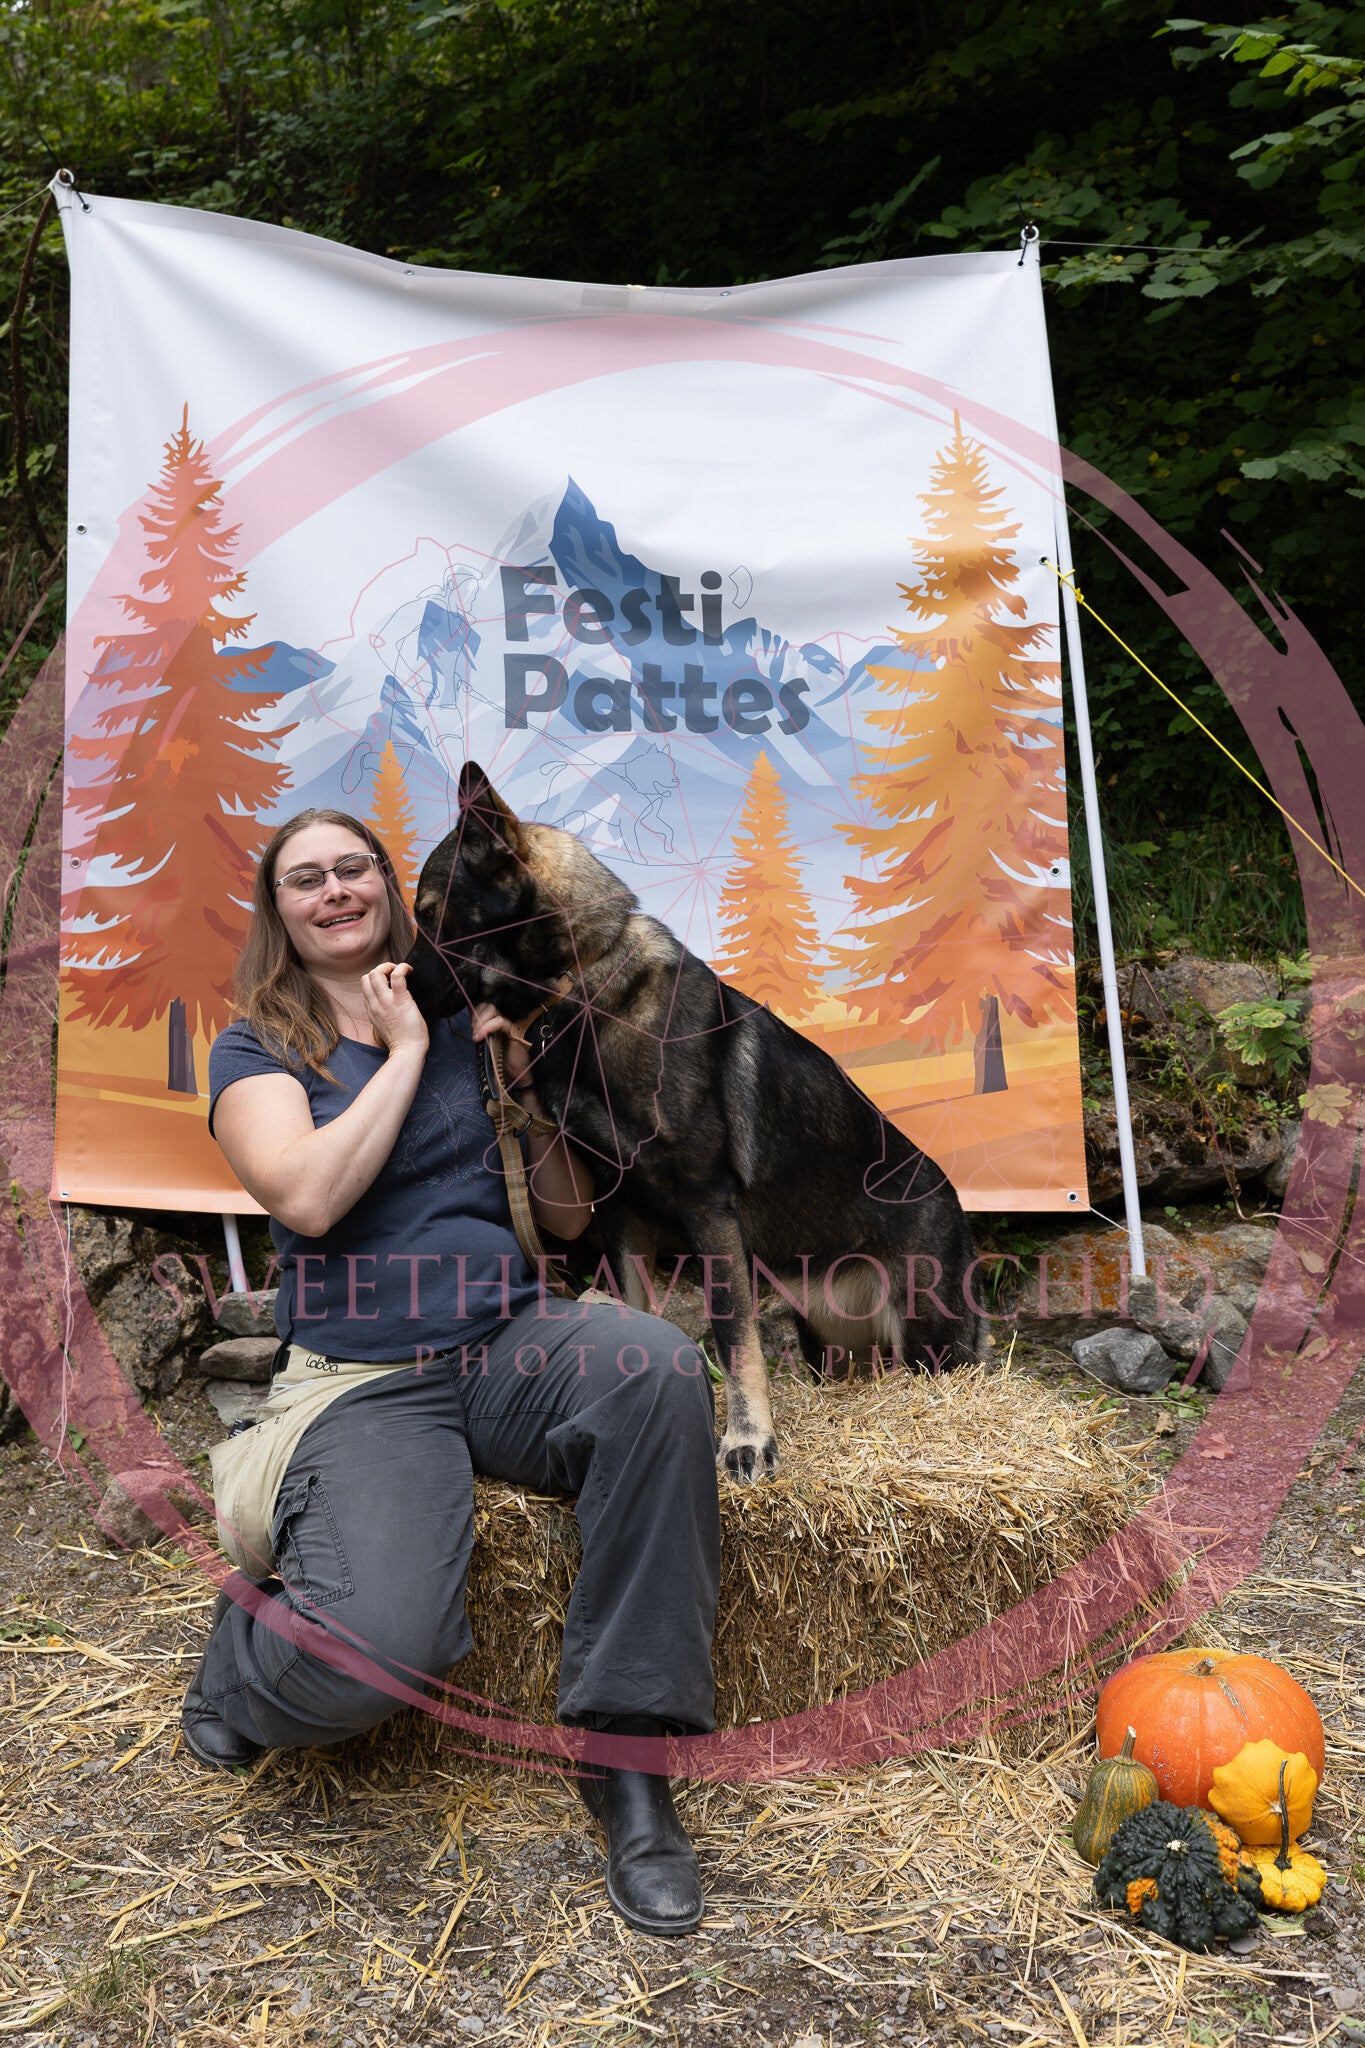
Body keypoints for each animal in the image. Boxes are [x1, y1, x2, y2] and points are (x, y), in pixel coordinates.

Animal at [405, 763, 987, 1483]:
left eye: (429, 917)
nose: (393, 983)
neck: (584, 984)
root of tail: (954, 1201)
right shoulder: (619, 1209)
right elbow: (634, 1304)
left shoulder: (708, 1211)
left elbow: (734, 1333)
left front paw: (747, 1440)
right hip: (832, 1344)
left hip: (931, 1345)